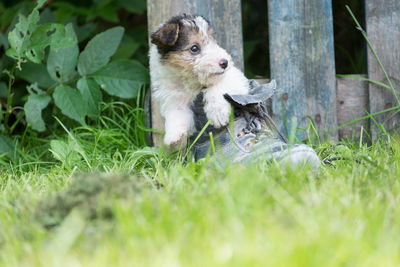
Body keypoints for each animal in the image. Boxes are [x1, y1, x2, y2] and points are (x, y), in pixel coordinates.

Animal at [150, 14, 250, 147]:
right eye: (194, 48)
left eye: (214, 42)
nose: (225, 62)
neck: (190, 80)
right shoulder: (174, 100)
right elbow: (176, 115)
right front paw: (173, 136)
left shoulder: (235, 78)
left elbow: (216, 88)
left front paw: (218, 114)